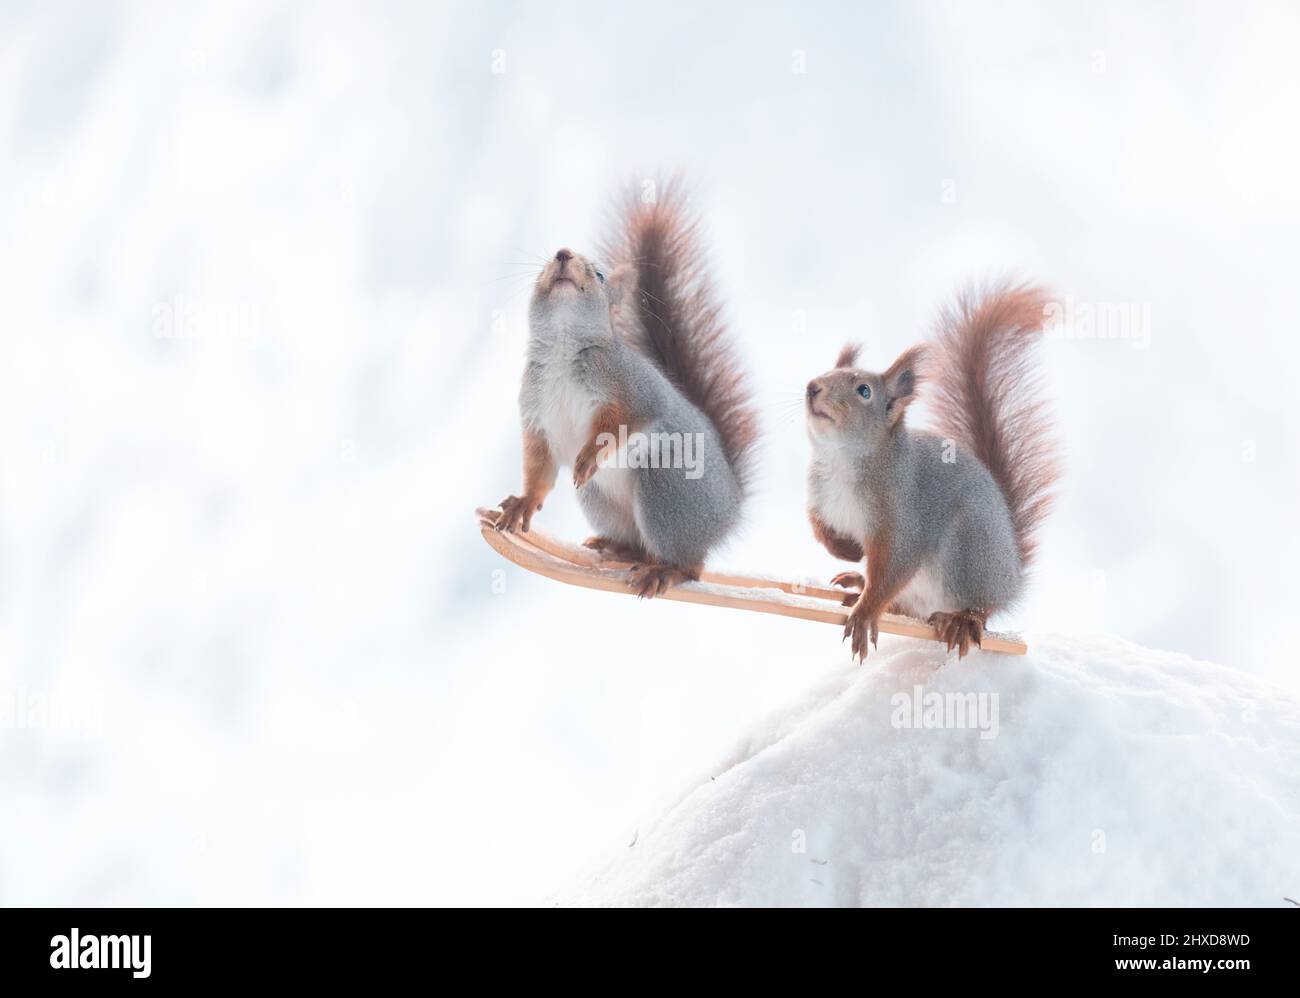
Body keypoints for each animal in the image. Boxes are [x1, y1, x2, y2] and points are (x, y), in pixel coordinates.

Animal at [495, 180, 758, 598]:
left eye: (600, 275)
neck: (562, 347)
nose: (563, 253)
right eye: (546, 264)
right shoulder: (536, 414)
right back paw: (617, 548)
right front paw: (523, 502)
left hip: (667, 492)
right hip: (597, 497)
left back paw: (663, 571)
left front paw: (589, 455)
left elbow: (625, 420)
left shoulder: (631, 386)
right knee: (639, 543)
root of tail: (732, 508)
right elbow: (539, 466)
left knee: (692, 565)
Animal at [805, 282, 1059, 660]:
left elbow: (894, 568)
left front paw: (865, 613)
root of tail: (1011, 576)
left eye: (864, 391)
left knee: (980, 607)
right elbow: (818, 528)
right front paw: (847, 549)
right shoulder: (819, 498)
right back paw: (858, 584)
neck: (841, 459)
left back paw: (963, 620)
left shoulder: (904, 519)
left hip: (968, 552)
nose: (812, 387)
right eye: (824, 372)